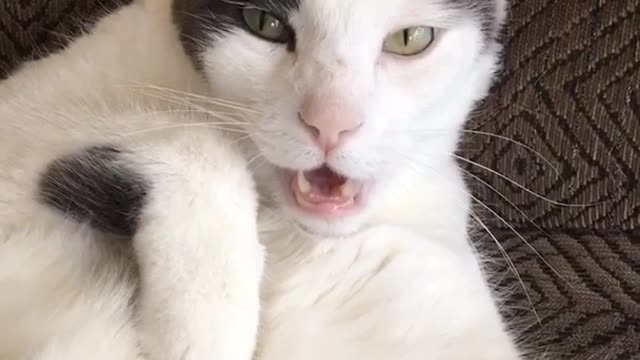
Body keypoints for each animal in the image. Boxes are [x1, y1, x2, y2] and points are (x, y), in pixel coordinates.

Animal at [0, 0, 524, 358]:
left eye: (411, 38)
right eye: (263, 23)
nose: (330, 122)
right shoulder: (27, 121)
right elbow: (199, 145)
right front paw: (205, 330)